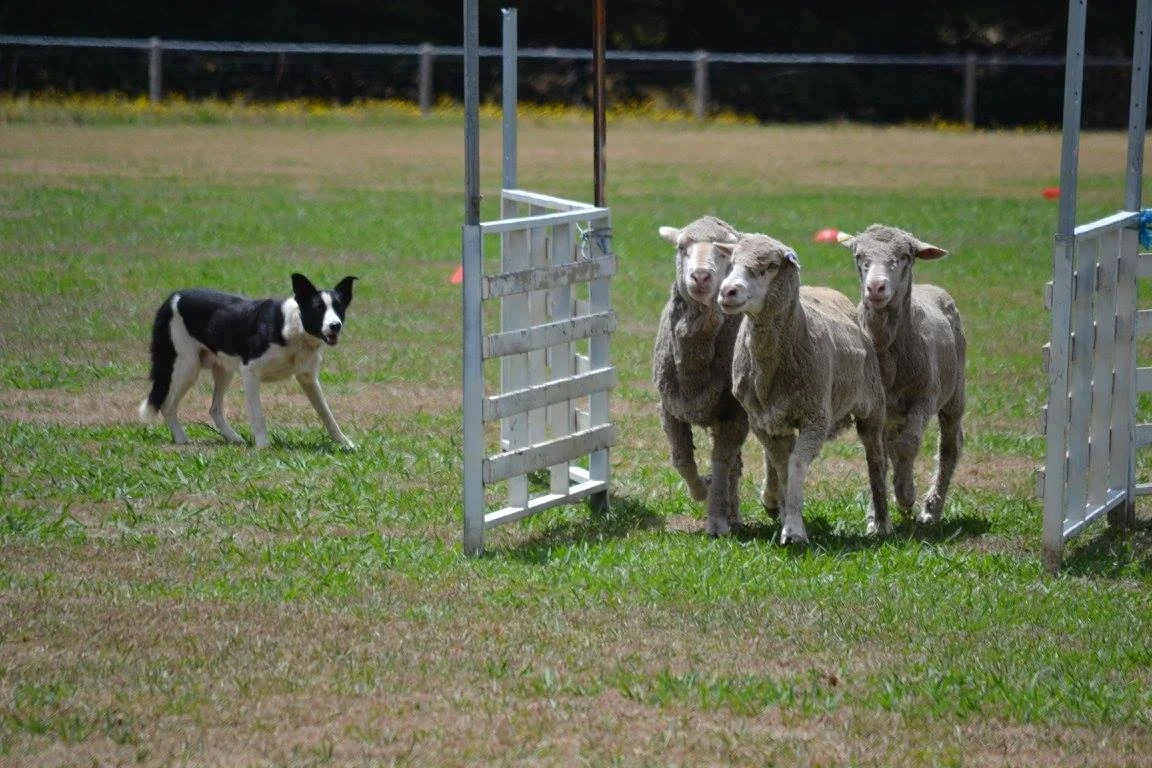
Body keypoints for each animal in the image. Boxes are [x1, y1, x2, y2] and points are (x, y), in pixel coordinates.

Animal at [653, 216, 750, 536]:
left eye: (725, 252)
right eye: (682, 247)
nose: (700, 277)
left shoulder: (734, 414)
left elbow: (720, 463)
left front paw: (716, 518)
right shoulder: (669, 408)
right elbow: (682, 460)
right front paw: (700, 491)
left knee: (734, 465)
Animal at [715, 233, 890, 545]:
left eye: (771, 266)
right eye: (732, 261)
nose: (727, 291)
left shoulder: (815, 417)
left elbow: (795, 465)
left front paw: (794, 529)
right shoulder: (763, 422)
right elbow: (782, 466)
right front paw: (788, 515)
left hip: (873, 407)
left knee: (876, 460)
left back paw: (881, 522)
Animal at [838, 224, 966, 524]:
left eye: (906, 256)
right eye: (859, 256)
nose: (876, 287)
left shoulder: (925, 396)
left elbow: (909, 444)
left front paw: (906, 494)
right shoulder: (875, 406)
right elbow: (879, 455)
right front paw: (878, 514)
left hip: (955, 393)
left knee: (950, 446)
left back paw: (931, 508)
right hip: (893, 412)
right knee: (891, 446)